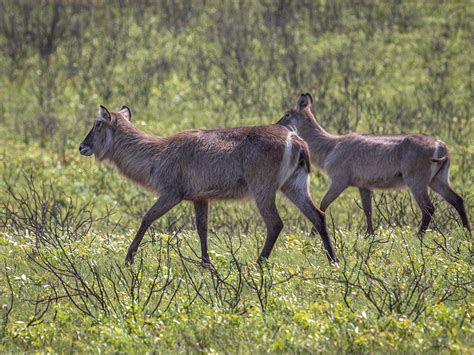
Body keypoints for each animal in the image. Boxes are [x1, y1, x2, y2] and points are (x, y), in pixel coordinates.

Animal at [78, 105, 336, 268]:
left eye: (98, 123)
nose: (82, 146)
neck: (156, 154)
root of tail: (296, 139)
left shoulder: (171, 193)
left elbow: (146, 218)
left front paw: (128, 258)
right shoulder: (200, 197)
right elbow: (202, 227)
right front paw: (206, 264)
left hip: (263, 189)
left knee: (275, 223)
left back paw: (259, 263)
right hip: (294, 185)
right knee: (318, 215)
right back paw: (333, 260)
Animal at [278, 93, 470, 236]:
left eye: (287, 114)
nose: (276, 124)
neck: (330, 146)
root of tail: (442, 145)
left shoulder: (339, 181)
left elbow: (323, 205)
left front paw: (312, 234)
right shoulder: (364, 186)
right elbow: (368, 210)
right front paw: (370, 235)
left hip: (417, 181)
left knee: (429, 208)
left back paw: (419, 236)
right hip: (437, 180)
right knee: (457, 200)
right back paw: (467, 231)